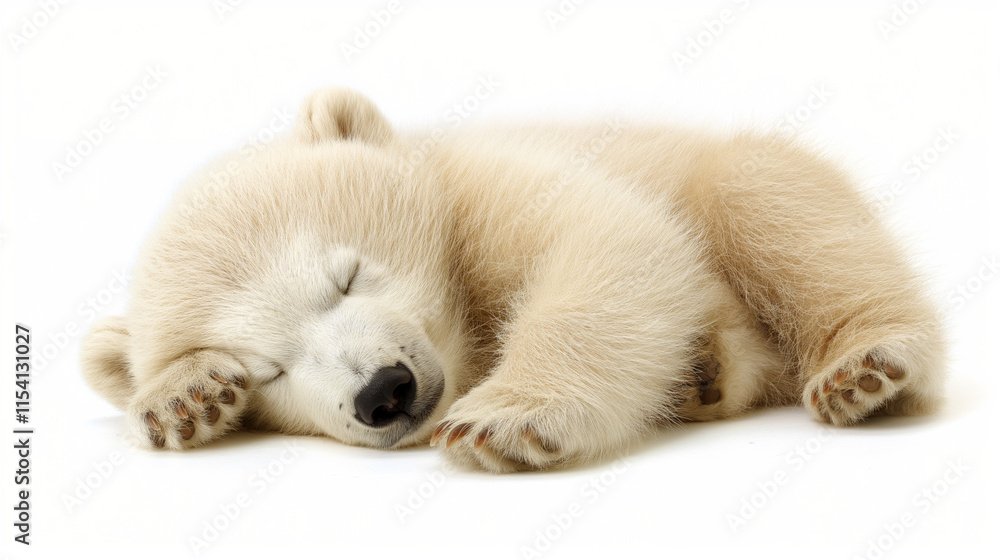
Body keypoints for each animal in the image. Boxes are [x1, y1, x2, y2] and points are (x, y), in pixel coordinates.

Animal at [80, 88, 947, 473]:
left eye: (349, 274)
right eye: (269, 369)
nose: (382, 391)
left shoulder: (477, 186)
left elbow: (608, 238)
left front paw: (502, 418)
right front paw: (188, 397)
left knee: (767, 196)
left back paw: (861, 371)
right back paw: (710, 371)